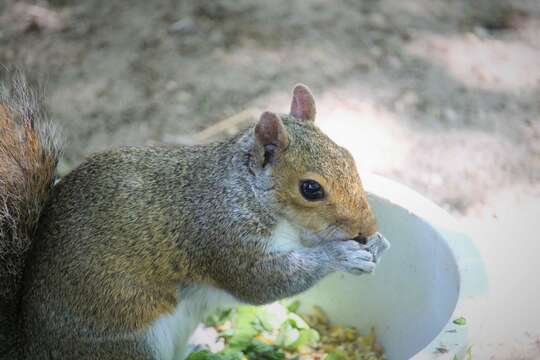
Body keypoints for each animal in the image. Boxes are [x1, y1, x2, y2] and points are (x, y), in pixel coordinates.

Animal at [0, 68, 388, 360]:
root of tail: (31, 346)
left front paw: (378, 245)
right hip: (129, 344)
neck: (247, 193)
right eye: (311, 189)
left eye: (348, 155)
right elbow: (263, 282)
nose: (368, 228)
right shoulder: (222, 235)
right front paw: (341, 255)